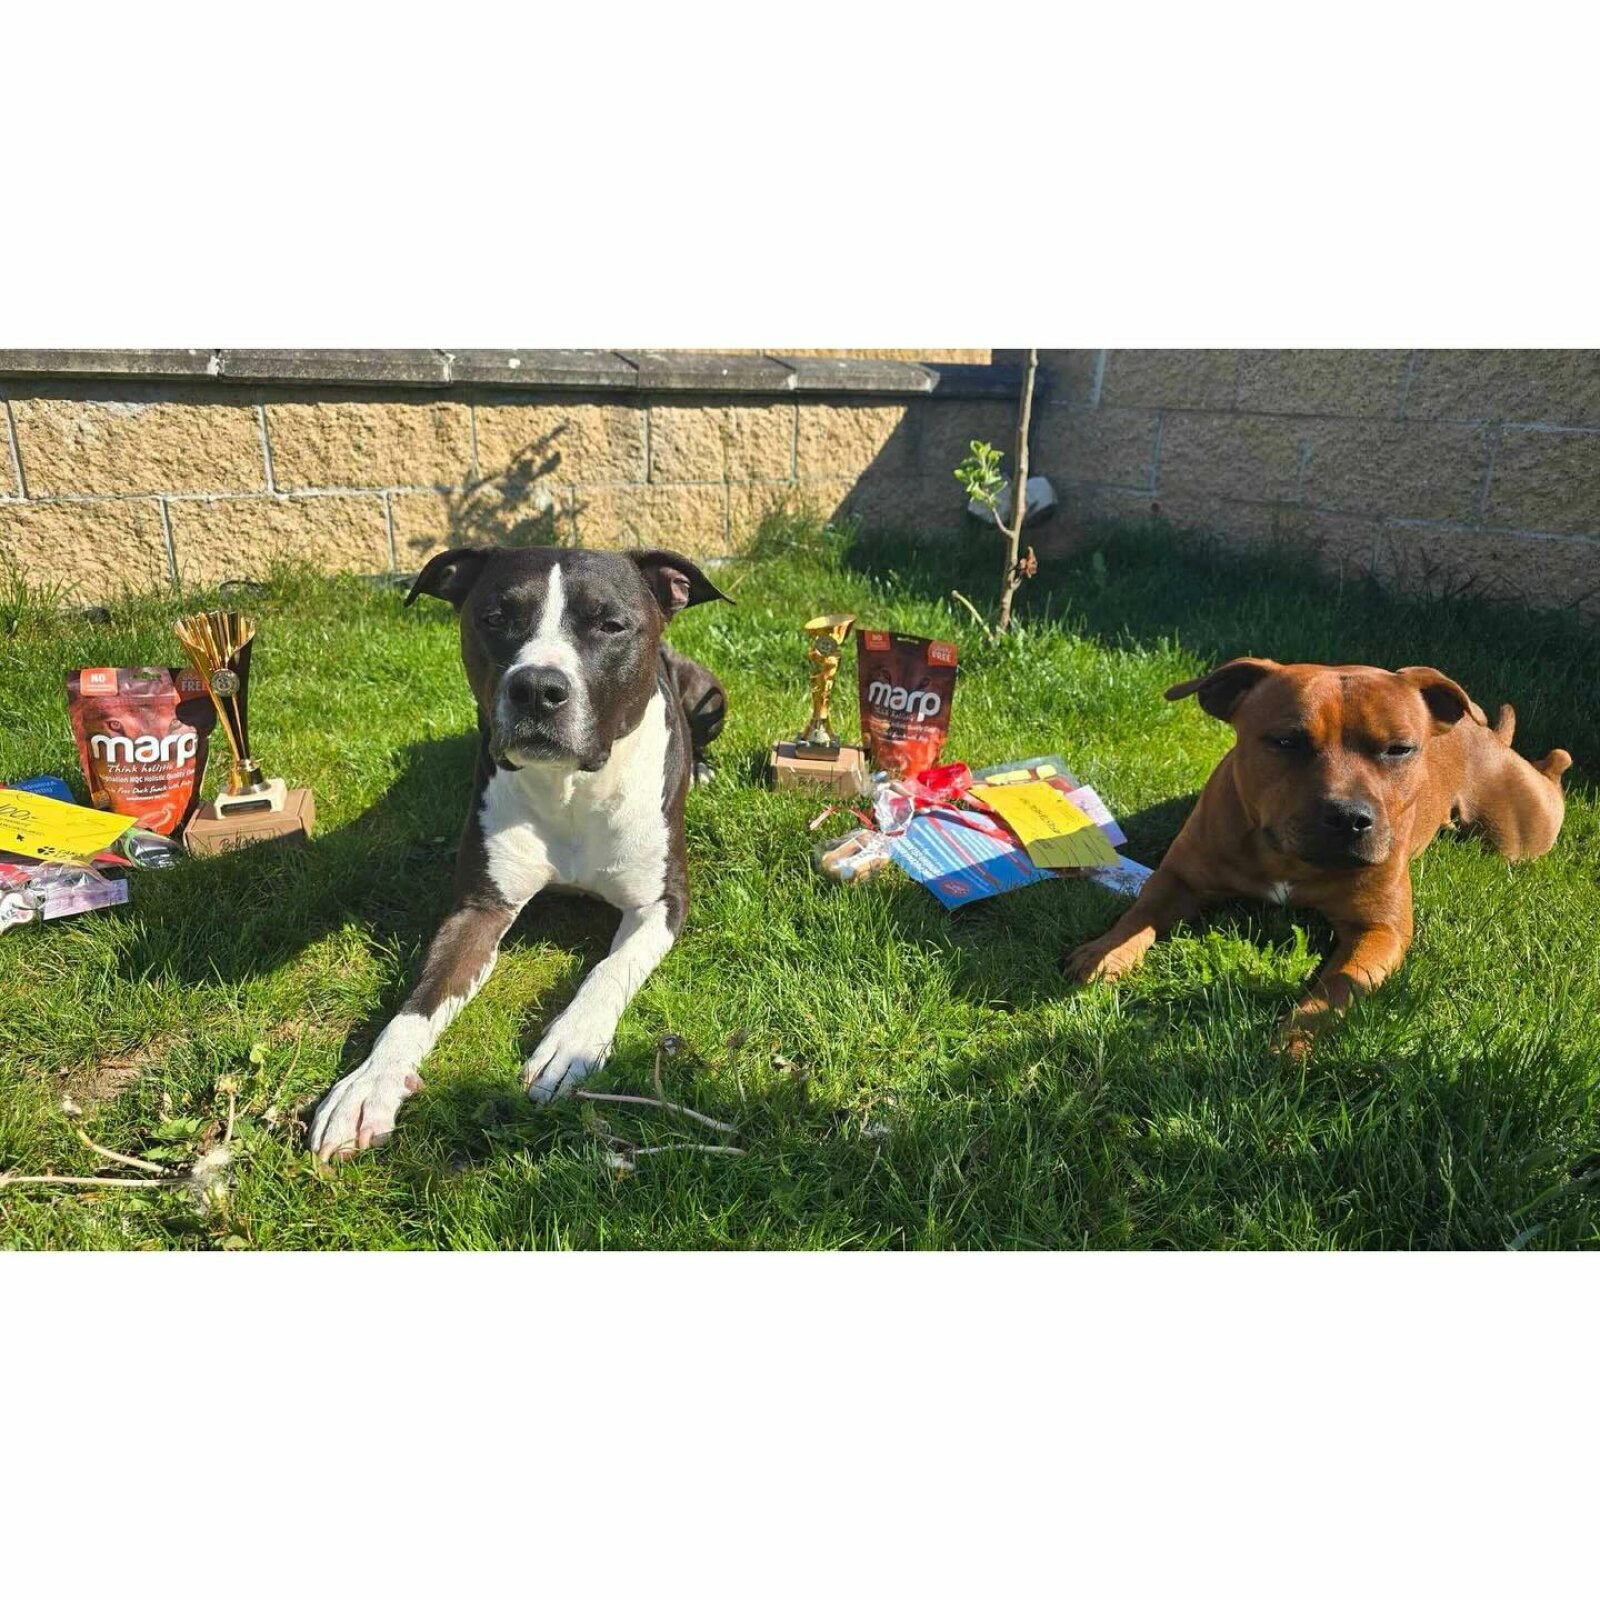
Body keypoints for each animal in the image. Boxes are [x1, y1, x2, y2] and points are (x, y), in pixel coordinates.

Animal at [310, 545, 729, 1159]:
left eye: (610, 624)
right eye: (495, 619)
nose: (536, 688)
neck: (570, 786)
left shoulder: (662, 903)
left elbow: (610, 968)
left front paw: (571, 1043)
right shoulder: (479, 908)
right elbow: (419, 1000)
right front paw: (368, 1083)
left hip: (709, 694)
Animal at [1065, 658, 1570, 1046]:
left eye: (1399, 749)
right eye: (1286, 741)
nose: (1348, 817)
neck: (1288, 856)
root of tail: (1487, 734)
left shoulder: (1379, 930)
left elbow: (1338, 987)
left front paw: (1297, 1035)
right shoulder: (1178, 878)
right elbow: (1140, 913)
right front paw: (1105, 952)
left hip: (1521, 835)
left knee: (1552, 772)